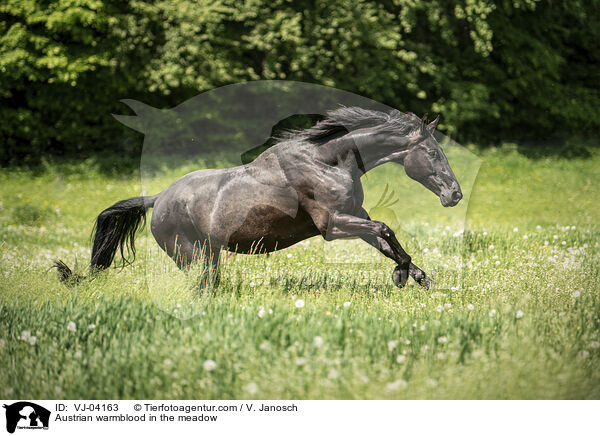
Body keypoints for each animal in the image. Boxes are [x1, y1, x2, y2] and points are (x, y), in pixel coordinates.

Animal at [54, 107, 462, 288]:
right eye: (432, 153)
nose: (455, 194)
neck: (326, 161)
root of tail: (158, 199)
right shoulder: (332, 225)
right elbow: (386, 230)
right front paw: (402, 276)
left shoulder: (354, 217)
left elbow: (386, 240)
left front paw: (419, 278)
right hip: (190, 255)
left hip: (209, 254)